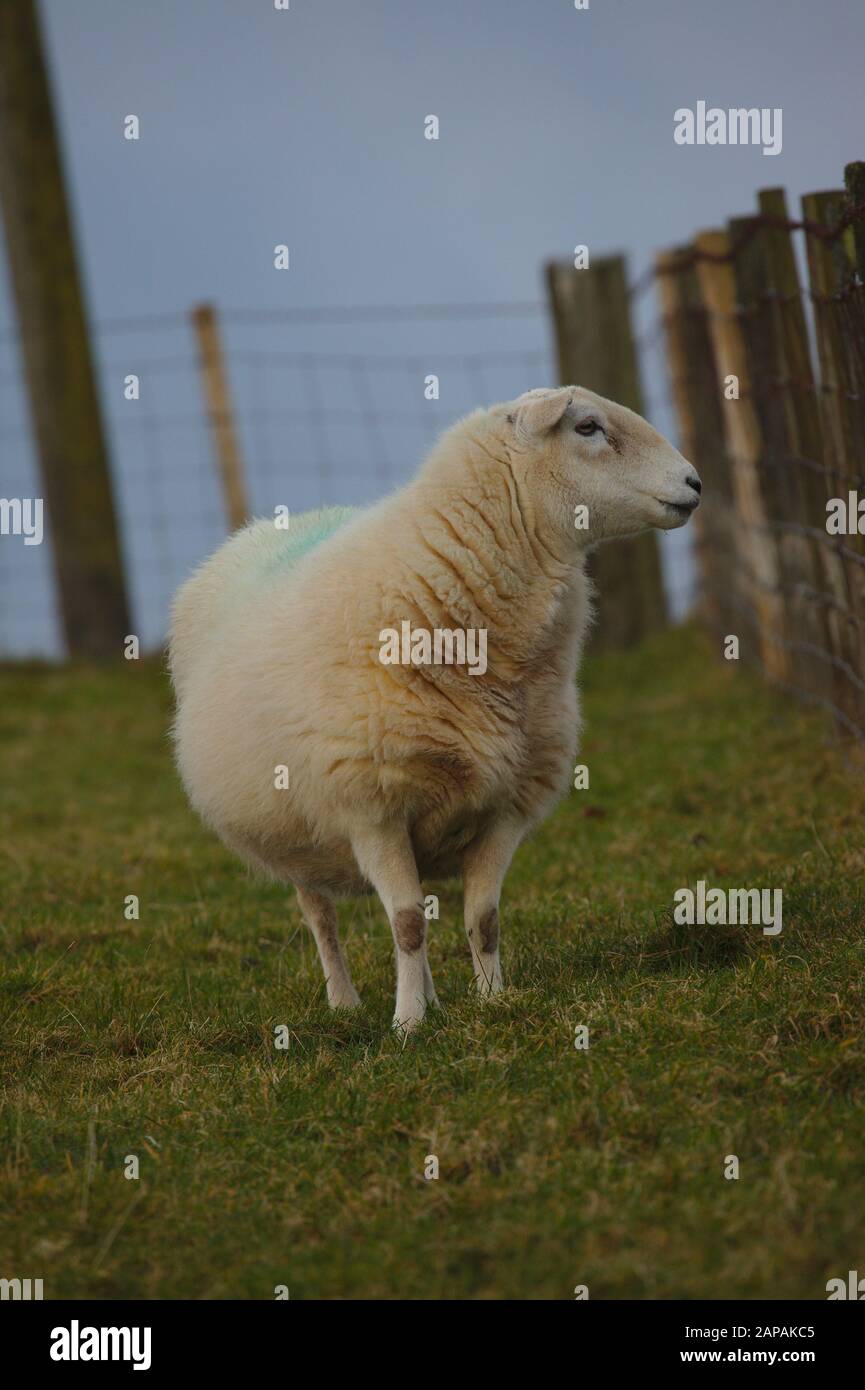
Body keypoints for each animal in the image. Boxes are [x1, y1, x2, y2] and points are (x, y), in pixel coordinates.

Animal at [169, 385, 701, 1033]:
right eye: (588, 428)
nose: (695, 483)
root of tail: (256, 531)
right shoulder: (372, 807)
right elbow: (405, 925)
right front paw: (407, 1025)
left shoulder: (504, 806)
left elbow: (481, 920)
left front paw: (493, 1001)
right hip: (299, 834)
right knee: (322, 917)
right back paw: (346, 1002)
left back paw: (434, 999)